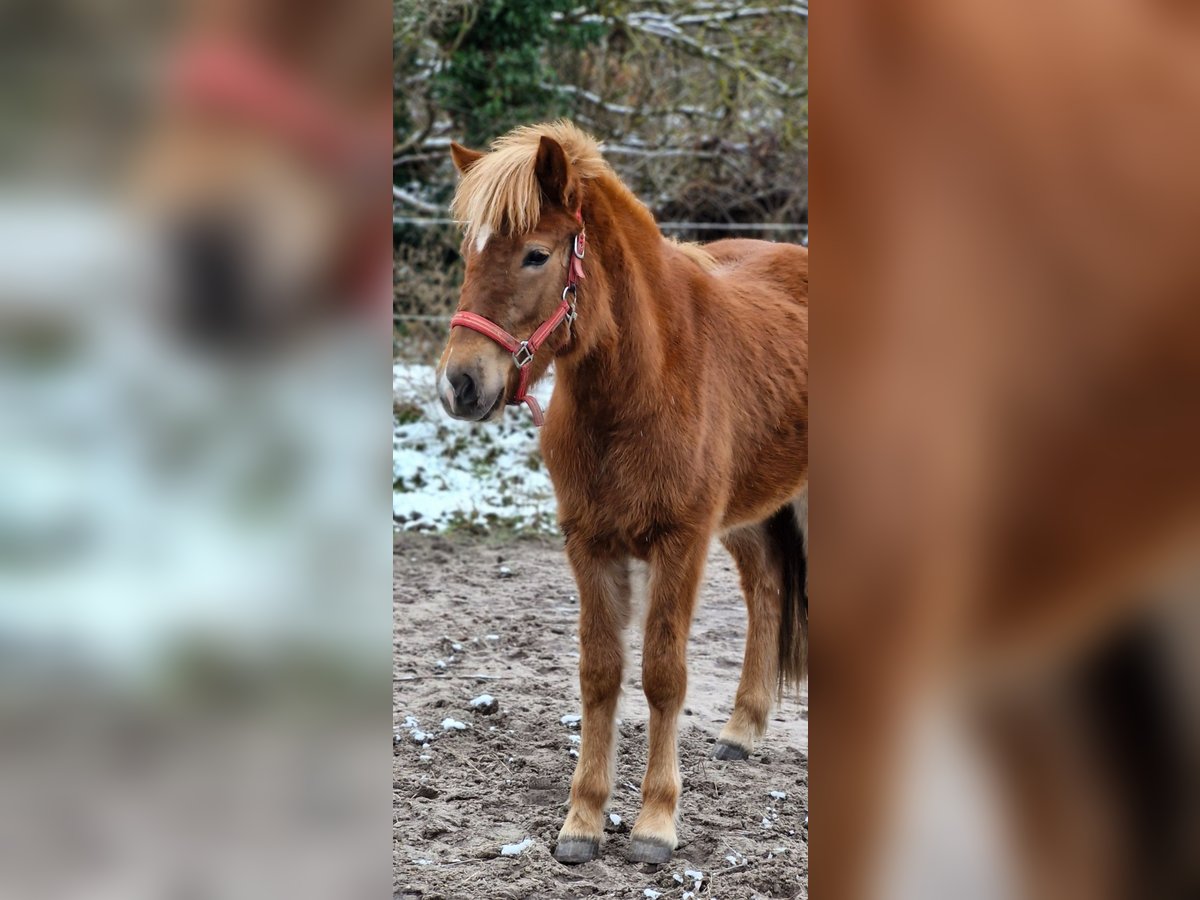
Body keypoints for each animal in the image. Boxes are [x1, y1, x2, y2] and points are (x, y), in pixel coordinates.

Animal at [436, 120, 811, 868]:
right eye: (469, 252)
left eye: (536, 254)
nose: (459, 383)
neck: (643, 383)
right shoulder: (589, 542)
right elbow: (600, 673)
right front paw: (583, 820)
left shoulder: (680, 543)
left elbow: (663, 675)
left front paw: (655, 824)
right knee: (766, 589)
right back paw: (742, 730)